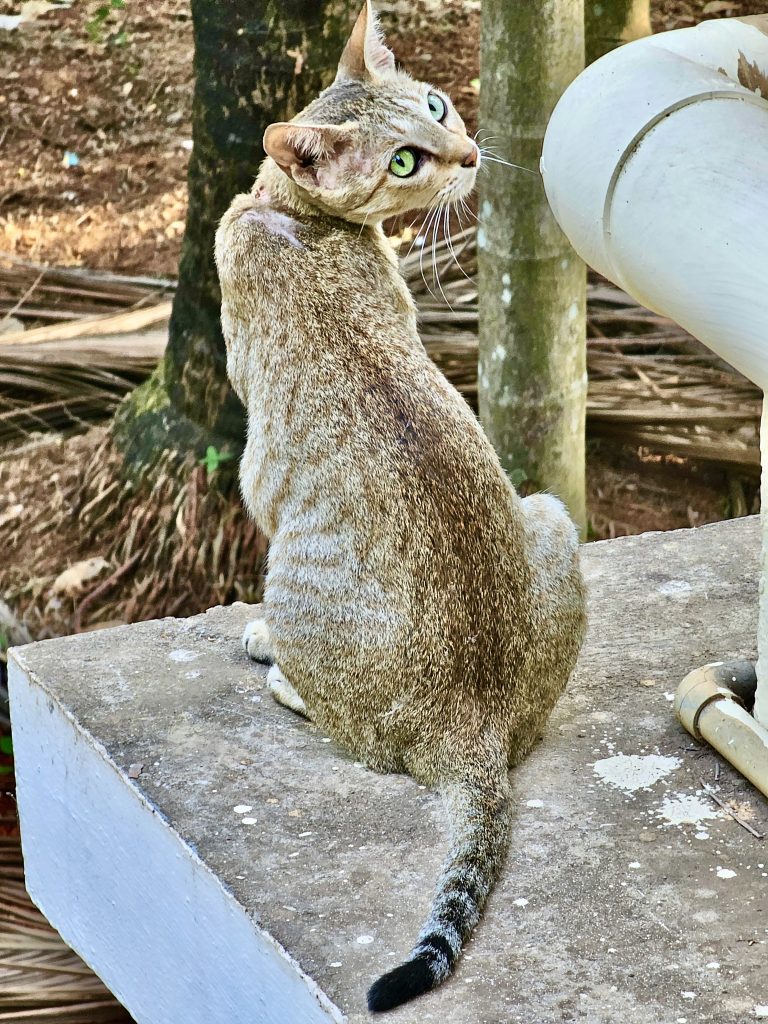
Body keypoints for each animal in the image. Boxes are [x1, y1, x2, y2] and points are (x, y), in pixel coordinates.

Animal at [214, 4, 585, 1011]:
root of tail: (475, 726)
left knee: (346, 724)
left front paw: (258, 639)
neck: (287, 210)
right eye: (406, 159)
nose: (466, 152)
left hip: (293, 570)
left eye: (435, 105)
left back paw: (282, 669)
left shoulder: (256, 474)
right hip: (550, 512)